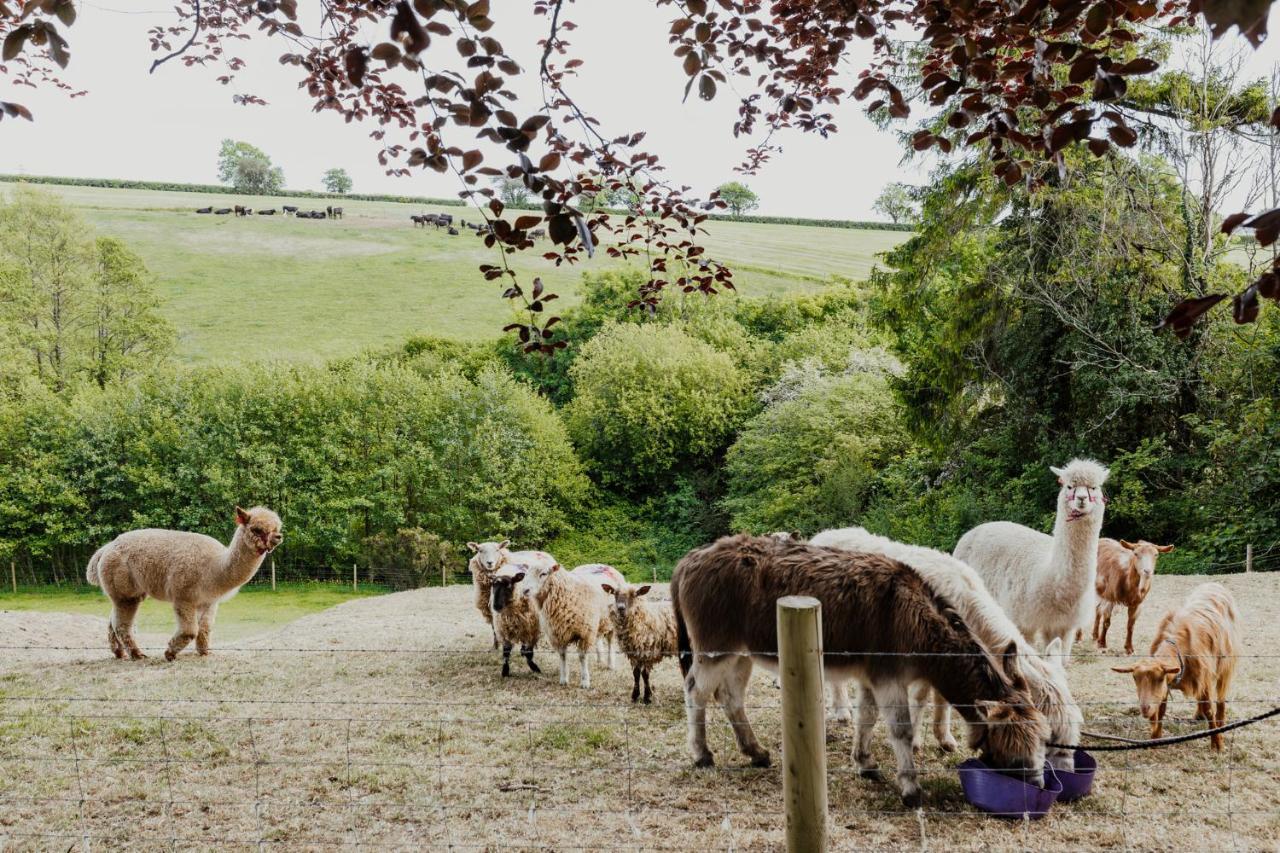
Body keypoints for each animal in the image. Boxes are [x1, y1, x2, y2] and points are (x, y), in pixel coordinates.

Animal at [87, 504, 282, 655]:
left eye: (277, 528)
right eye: (256, 529)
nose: (278, 537)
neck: (215, 567)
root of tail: (107, 547)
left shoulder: (209, 601)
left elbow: (205, 629)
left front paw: (204, 652)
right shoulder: (183, 595)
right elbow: (190, 630)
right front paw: (170, 653)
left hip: (126, 592)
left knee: (112, 622)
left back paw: (119, 653)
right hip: (124, 591)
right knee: (121, 624)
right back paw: (137, 654)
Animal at [808, 525, 1080, 768]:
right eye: (1050, 735)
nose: (1065, 770)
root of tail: (822, 535)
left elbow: (942, 698)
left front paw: (945, 739)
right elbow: (920, 697)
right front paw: (915, 741)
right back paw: (841, 711)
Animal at [957, 455, 1105, 660]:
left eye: (1094, 487)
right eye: (1069, 486)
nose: (1081, 499)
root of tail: (972, 531)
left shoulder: (1064, 626)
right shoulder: (1022, 621)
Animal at [1116, 578, 1233, 753]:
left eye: (1158, 679)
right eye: (1135, 678)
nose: (1145, 709)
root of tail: (1214, 584)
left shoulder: (1202, 677)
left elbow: (1209, 709)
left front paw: (1217, 743)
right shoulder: (1170, 682)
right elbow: (1162, 709)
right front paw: (1155, 739)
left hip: (1226, 665)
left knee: (1221, 695)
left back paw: (1220, 721)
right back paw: (1198, 716)